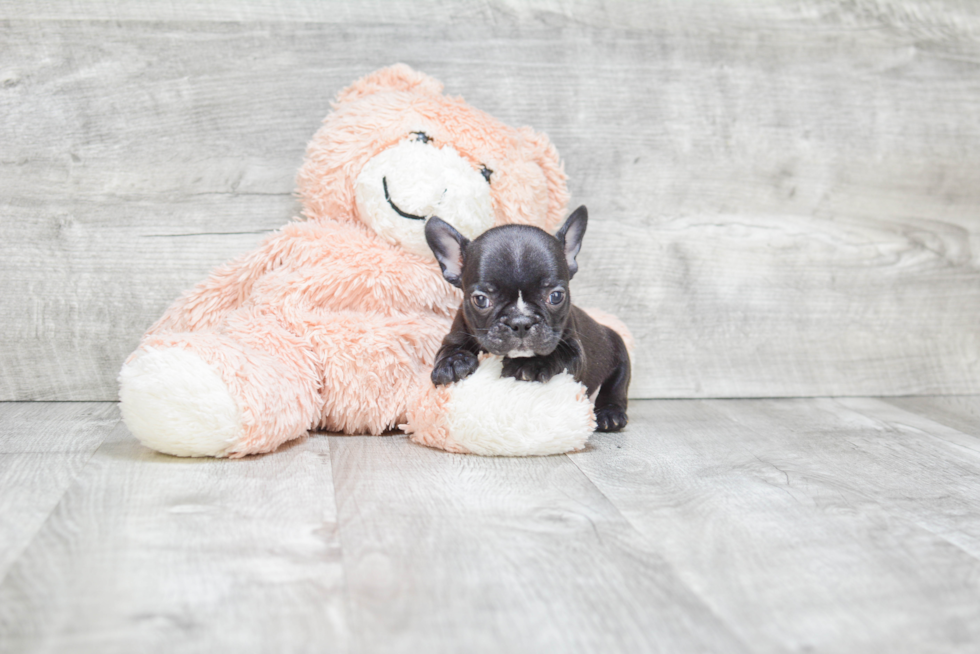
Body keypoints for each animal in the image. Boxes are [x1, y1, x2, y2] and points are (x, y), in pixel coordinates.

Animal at [424, 205, 632, 430]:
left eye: (556, 296)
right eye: (480, 299)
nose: (521, 322)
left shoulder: (574, 351)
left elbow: (558, 353)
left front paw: (529, 365)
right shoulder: (454, 334)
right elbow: (447, 349)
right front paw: (452, 363)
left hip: (620, 354)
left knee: (616, 387)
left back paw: (610, 413)